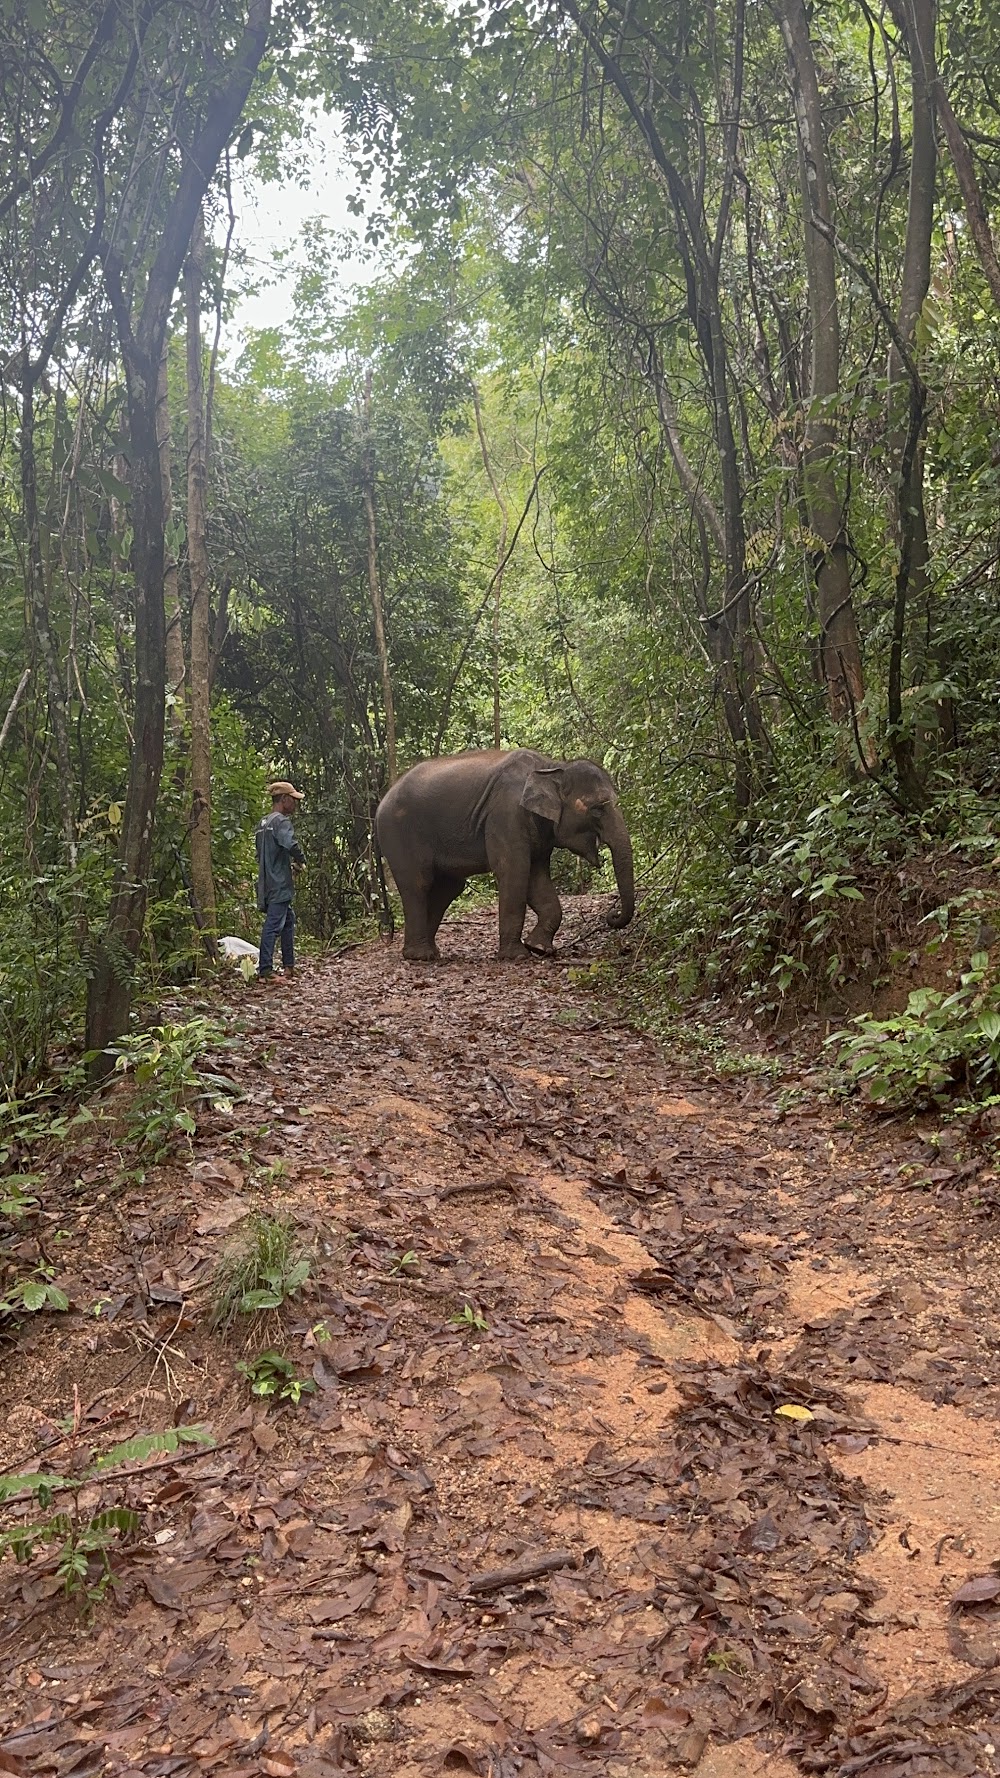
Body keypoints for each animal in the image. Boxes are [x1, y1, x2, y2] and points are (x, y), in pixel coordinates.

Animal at [373, 743, 629, 960]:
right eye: (597, 809)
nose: (613, 916)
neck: (551, 766)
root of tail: (379, 804)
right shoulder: (506, 815)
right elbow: (514, 870)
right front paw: (516, 956)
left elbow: (537, 878)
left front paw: (539, 948)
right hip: (398, 834)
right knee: (419, 883)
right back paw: (420, 956)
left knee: (448, 888)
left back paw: (432, 953)